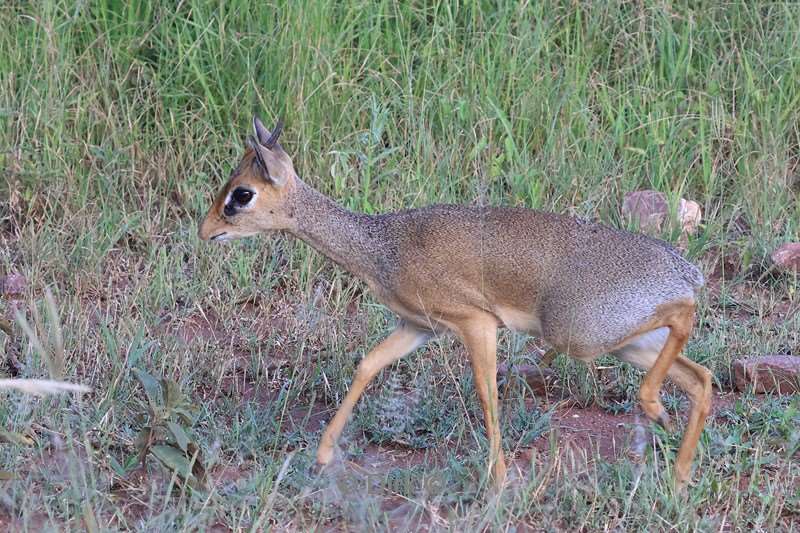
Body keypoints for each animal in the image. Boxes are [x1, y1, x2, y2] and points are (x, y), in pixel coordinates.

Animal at [200, 115, 712, 486]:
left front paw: (498, 479)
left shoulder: (476, 323)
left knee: (686, 322)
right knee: (701, 377)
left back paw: (656, 412)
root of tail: (682, 269)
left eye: (241, 194)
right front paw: (323, 455)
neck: (382, 247)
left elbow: (486, 393)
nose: (205, 231)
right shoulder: (418, 327)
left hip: (580, 335)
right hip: (626, 342)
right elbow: (368, 364)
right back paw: (680, 473)